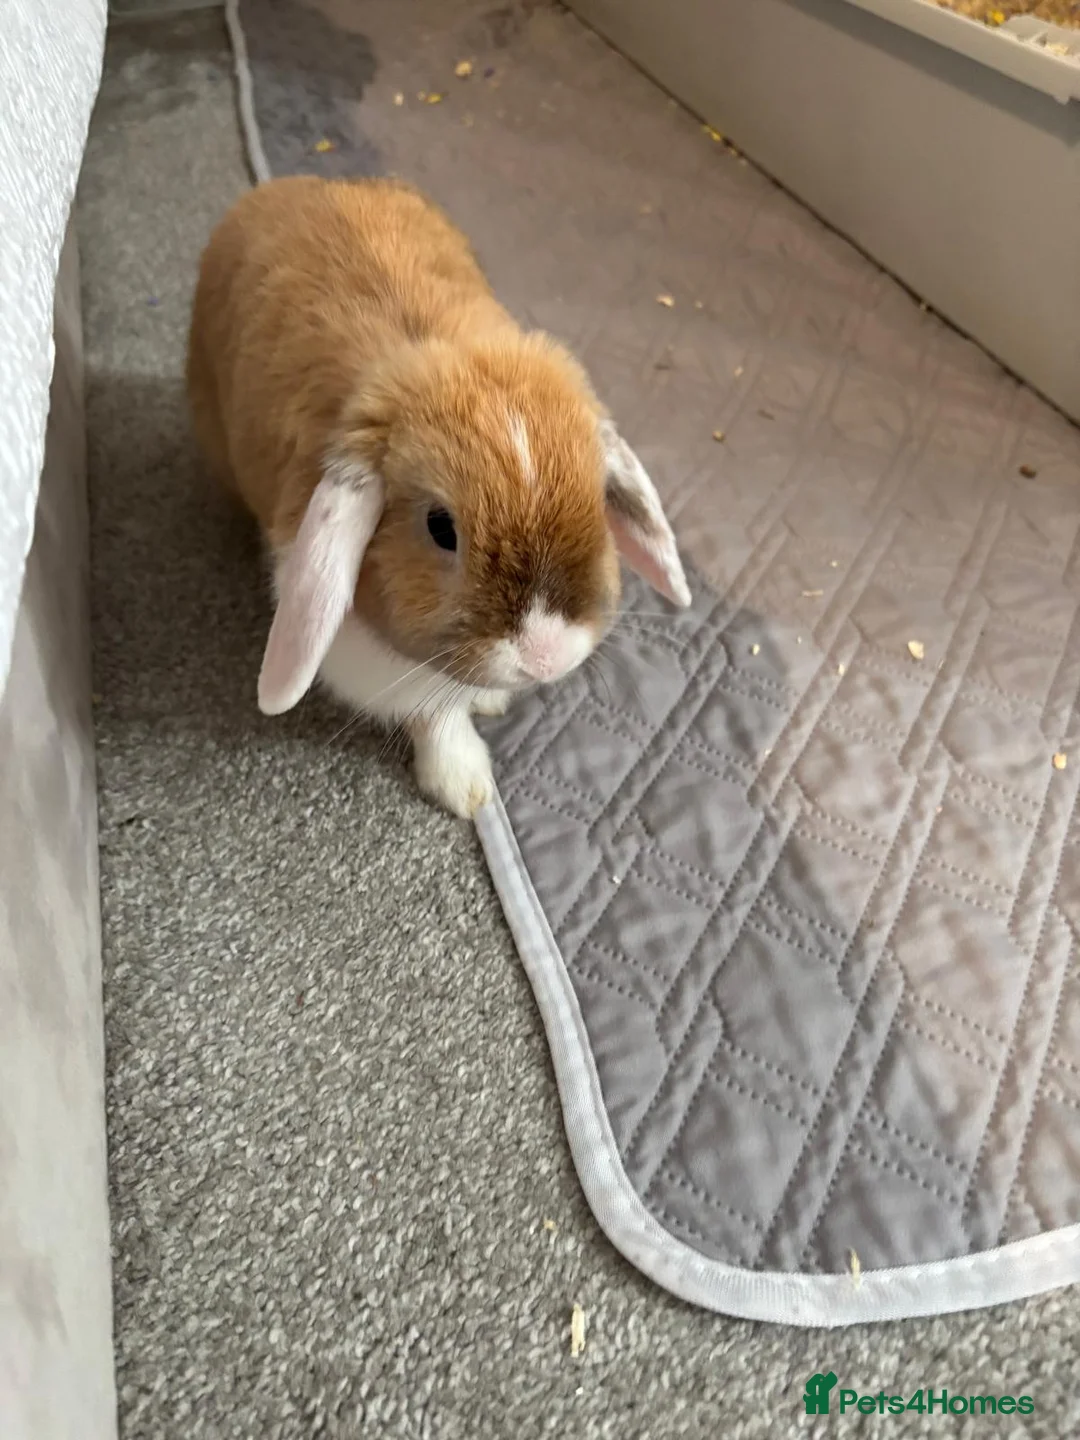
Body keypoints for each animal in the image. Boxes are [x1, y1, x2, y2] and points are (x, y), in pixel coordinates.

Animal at [186, 175, 689, 818]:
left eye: (597, 504)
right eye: (441, 528)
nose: (545, 655)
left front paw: (490, 704)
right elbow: (436, 713)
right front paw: (467, 787)